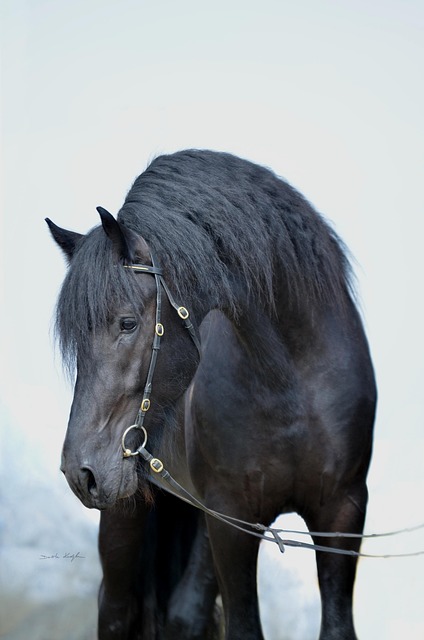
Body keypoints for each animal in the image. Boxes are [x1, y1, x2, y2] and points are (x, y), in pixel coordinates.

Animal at [47, 149, 376, 640]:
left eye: (127, 323)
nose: (79, 472)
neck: (294, 385)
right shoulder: (231, 524)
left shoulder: (343, 514)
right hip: (130, 519)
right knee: (119, 609)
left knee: (187, 611)